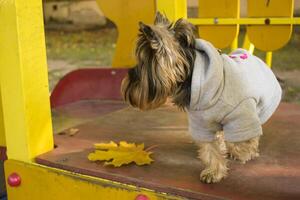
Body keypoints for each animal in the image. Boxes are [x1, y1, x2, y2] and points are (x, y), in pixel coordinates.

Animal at [120, 12, 282, 184]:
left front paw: (244, 152)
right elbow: (210, 147)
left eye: (141, 65)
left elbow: (242, 139)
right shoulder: (201, 122)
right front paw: (214, 171)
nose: (127, 82)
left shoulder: (242, 114)